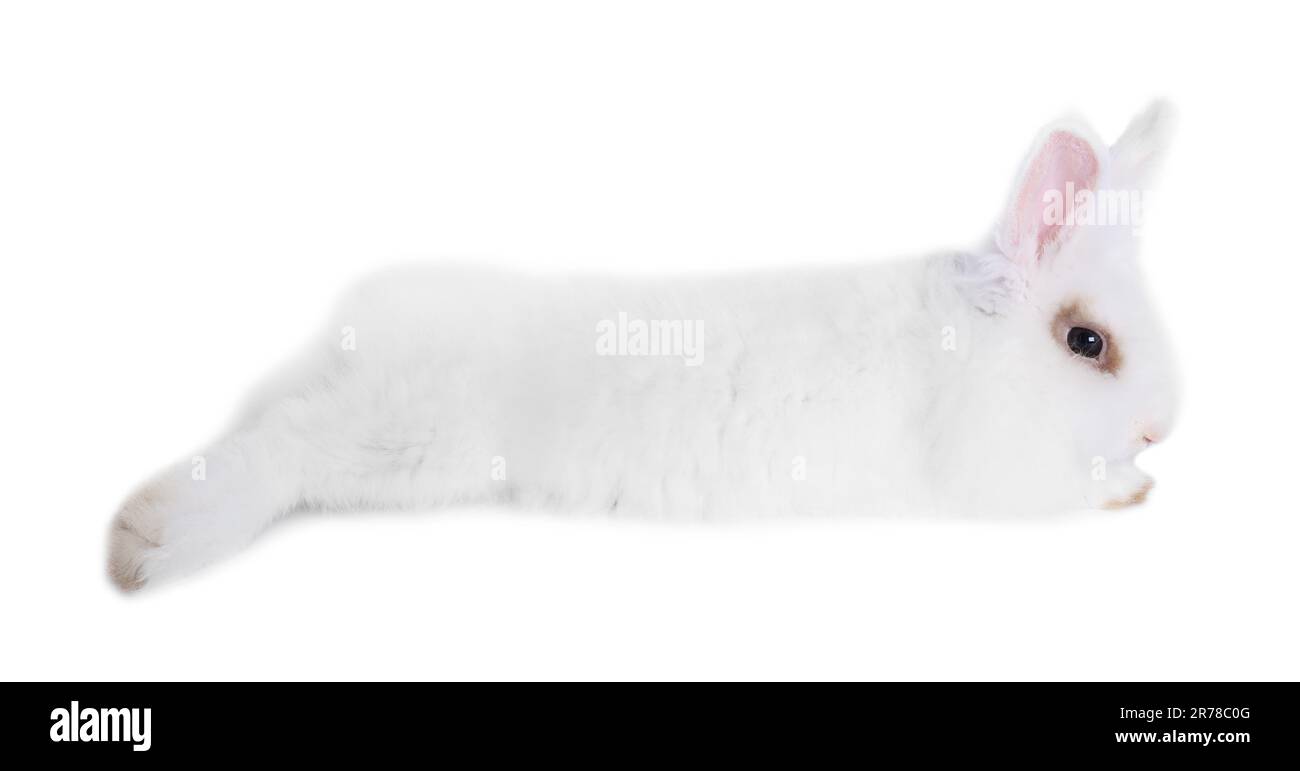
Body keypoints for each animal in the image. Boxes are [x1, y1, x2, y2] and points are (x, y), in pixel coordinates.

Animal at [108, 102, 1179, 591]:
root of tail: (355, 344)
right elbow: (1068, 489)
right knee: (278, 451)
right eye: (1087, 341)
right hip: (399, 439)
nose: (1163, 427)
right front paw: (1131, 488)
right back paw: (143, 545)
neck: (979, 358)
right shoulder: (997, 479)